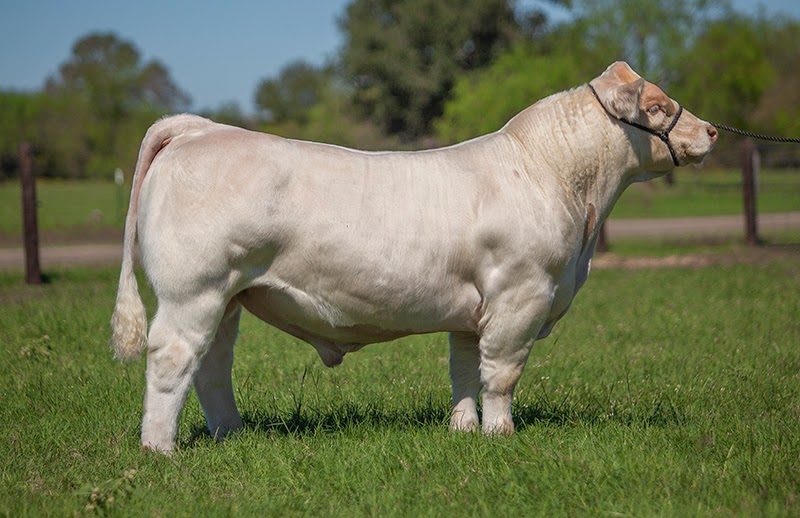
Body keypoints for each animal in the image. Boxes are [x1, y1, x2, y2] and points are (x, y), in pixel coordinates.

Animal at [111, 62, 717, 453]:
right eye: (658, 106)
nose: (711, 130)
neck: (555, 177)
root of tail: (200, 129)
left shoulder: (476, 309)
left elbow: (464, 369)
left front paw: (463, 430)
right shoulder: (522, 294)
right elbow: (501, 374)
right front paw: (501, 435)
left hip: (230, 295)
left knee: (212, 365)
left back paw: (231, 435)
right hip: (194, 289)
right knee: (172, 359)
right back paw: (160, 449)